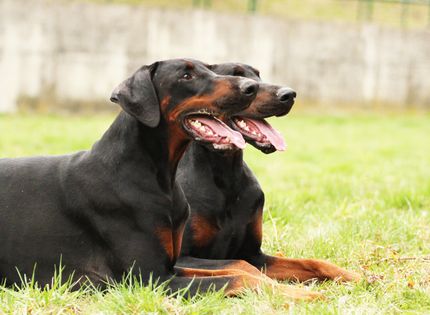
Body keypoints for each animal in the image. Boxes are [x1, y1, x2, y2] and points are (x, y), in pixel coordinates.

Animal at [176, 63, 362, 284]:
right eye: (236, 75)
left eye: (258, 74)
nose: (289, 94)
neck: (227, 174)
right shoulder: (182, 257)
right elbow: (240, 264)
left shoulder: (254, 254)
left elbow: (313, 262)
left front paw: (357, 276)